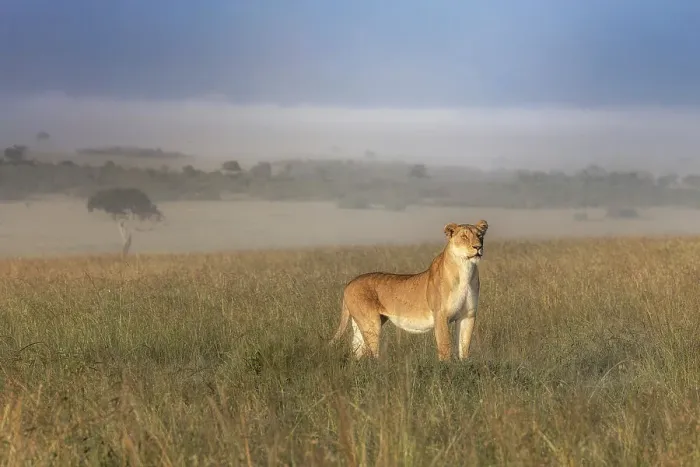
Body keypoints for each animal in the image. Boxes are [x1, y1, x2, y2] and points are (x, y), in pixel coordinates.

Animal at [330, 220, 489, 361]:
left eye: (480, 236)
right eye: (464, 237)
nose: (478, 247)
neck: (466, 270)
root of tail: (350, 283)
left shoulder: (467, 316)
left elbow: (464, 347)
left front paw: (463, 367)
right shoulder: (440, 315)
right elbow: (445, 347)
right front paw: (446, 369)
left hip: (361, 323)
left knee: (357, 350)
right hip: (371, 323)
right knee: (371, 353)